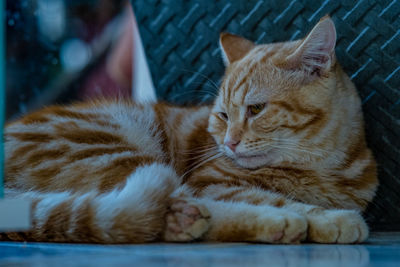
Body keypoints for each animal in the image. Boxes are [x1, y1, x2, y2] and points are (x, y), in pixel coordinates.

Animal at [1, 16, 378, 245]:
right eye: (223, 115)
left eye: (256, 109)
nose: (229, 143)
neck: (322, 168)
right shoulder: (211, 181)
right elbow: (269, 197)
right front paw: (326, 218)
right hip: (114, 149)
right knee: (185, 205)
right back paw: (276, 222)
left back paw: (181, 223)